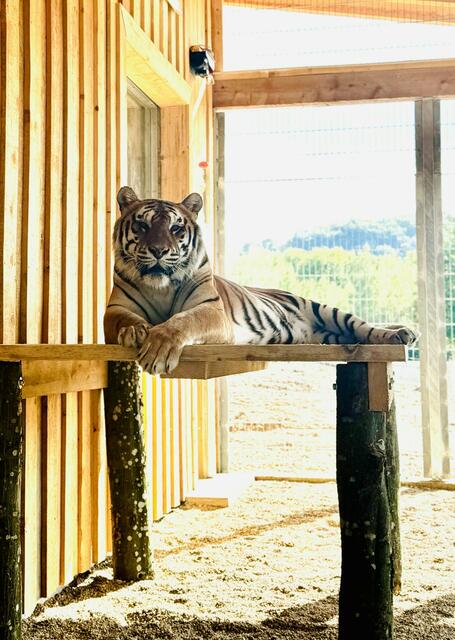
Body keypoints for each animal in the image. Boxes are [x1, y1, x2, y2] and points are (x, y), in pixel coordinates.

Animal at [104, 186, 418, 375]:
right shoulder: (115, 309)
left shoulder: (212, 310)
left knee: (363, 326)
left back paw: (400, 334)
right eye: (142, 225)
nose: (159, 250)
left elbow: (183, 321)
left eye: (176, 228)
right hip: (329, 335)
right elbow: (124, 320)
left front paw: (159, 347)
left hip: (325, 311)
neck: (161, 288)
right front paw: (135, 331)